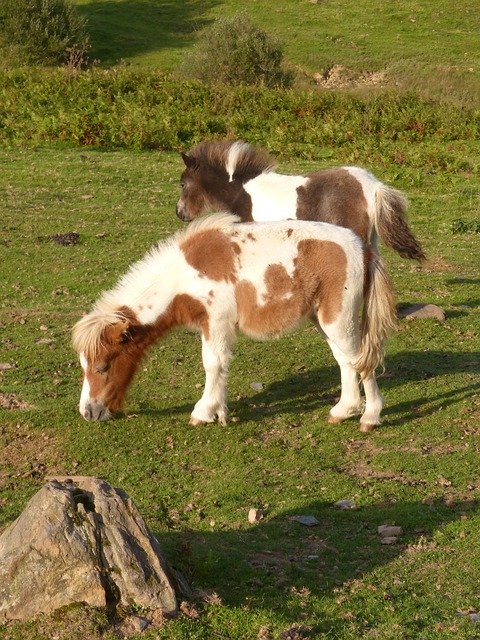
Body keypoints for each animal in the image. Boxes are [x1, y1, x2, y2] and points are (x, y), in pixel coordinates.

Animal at [70, 214, 394, 430]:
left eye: (102, 366)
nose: (88, 412)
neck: (184, 275)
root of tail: (363, 249)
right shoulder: (215, 326)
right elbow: (221, 364)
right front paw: (220, 413)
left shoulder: (215, 321)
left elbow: (213, 364)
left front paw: (203, 413)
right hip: (326, 321)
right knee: (345, 360)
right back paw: (343, 411)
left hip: (338, 319)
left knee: (360, 360)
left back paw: (370, 417)